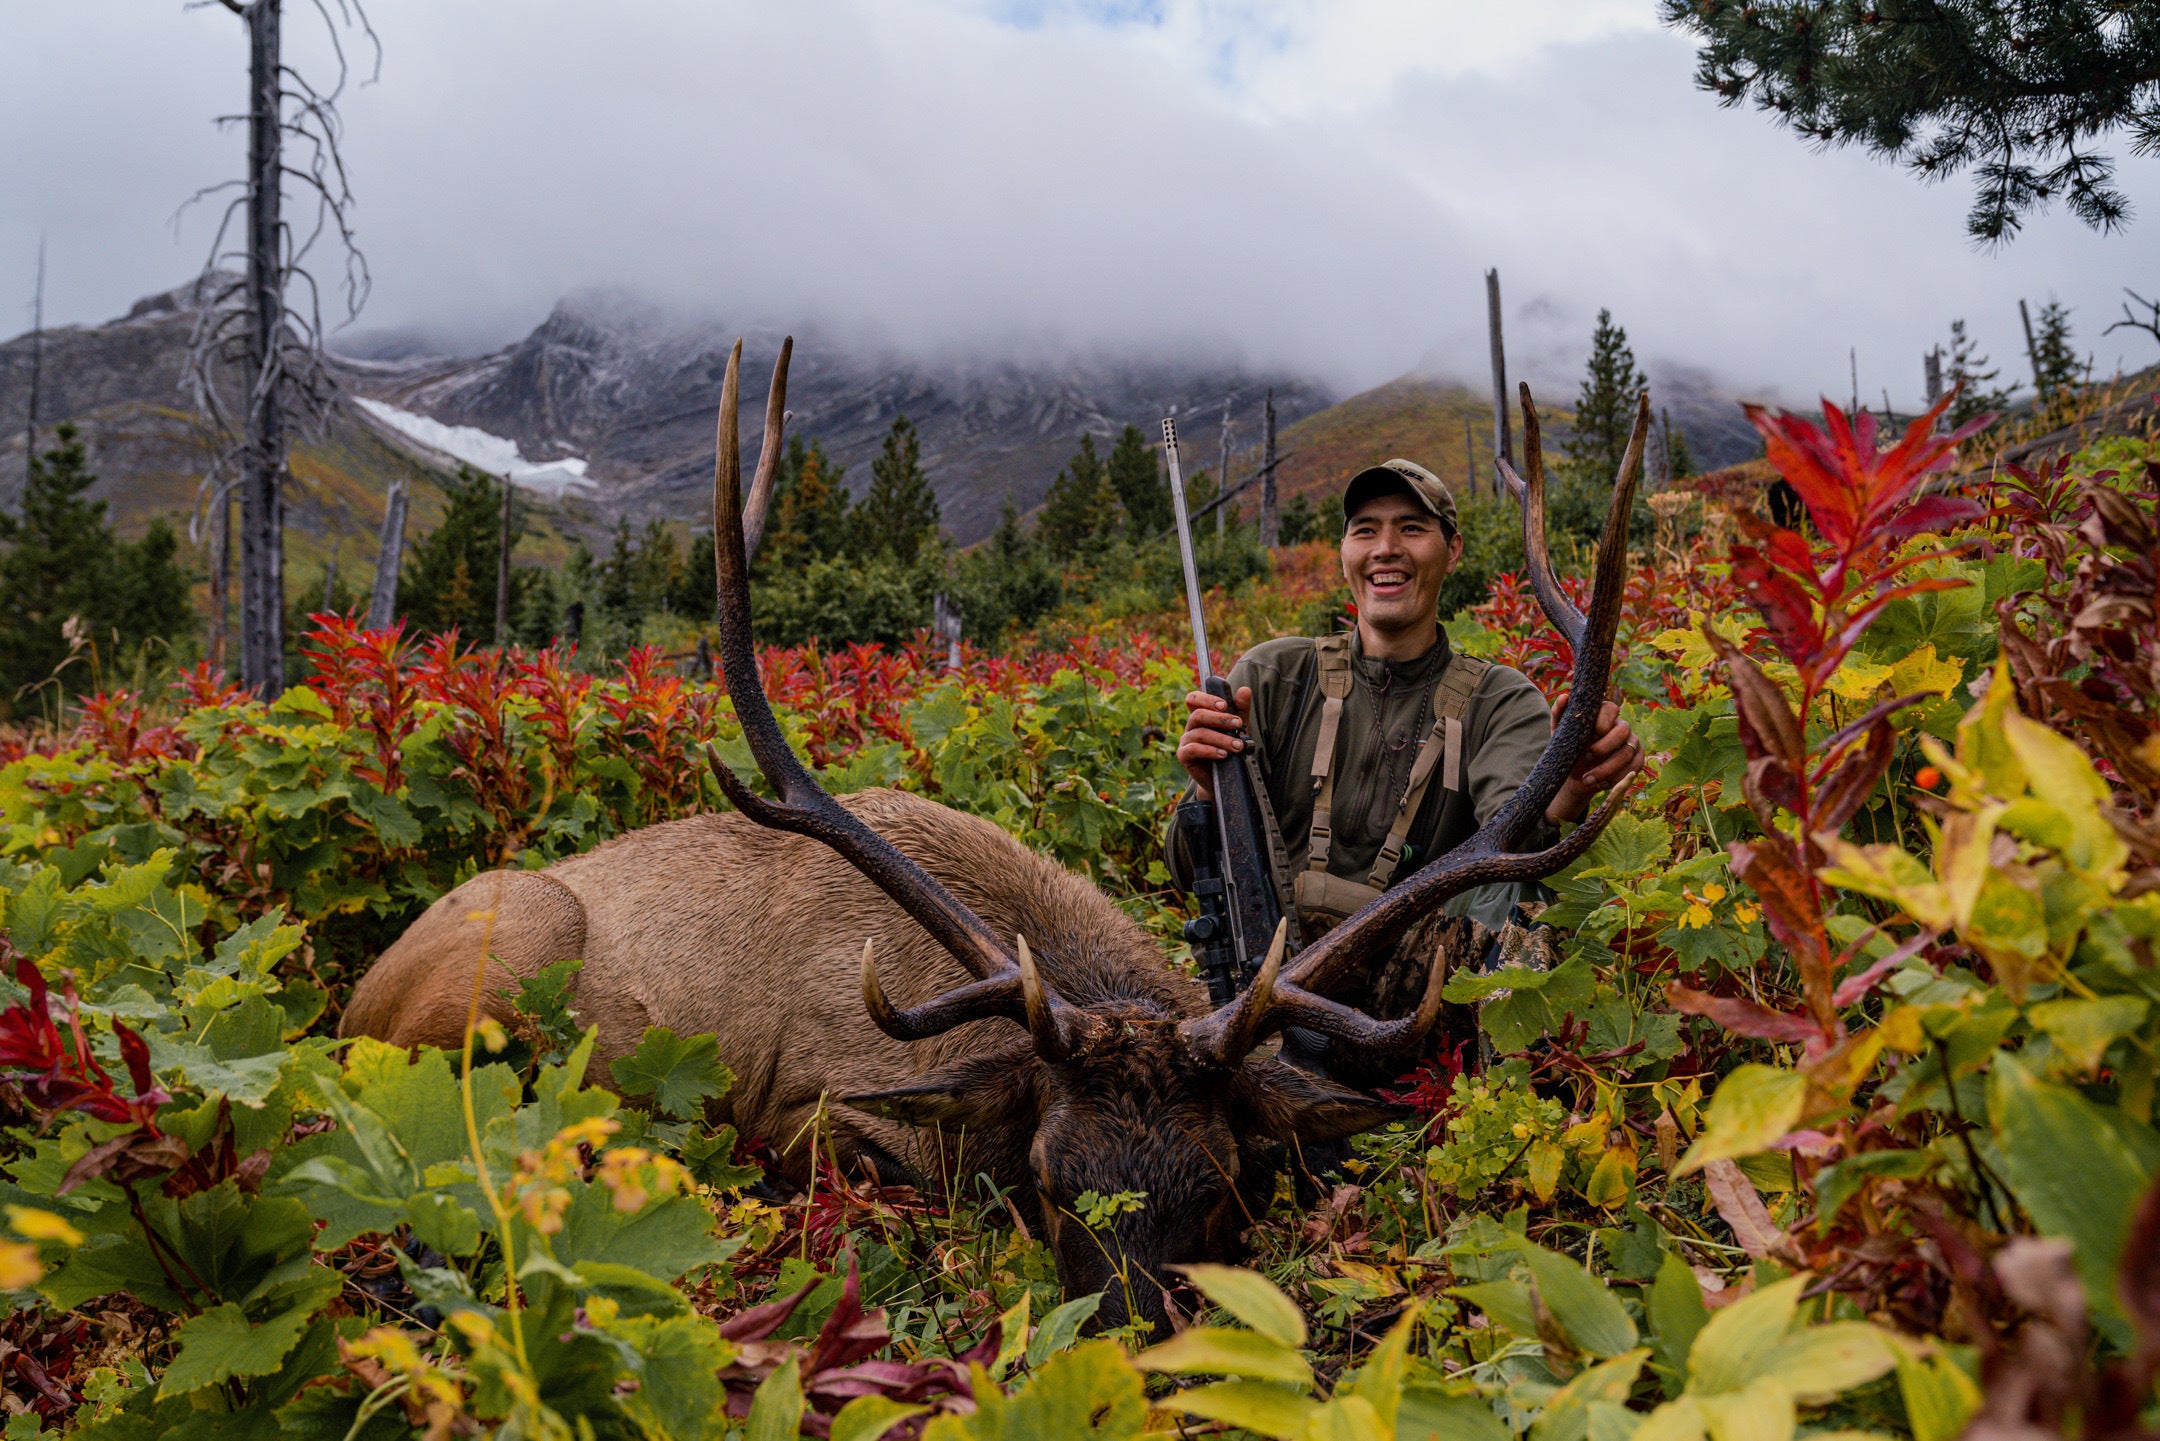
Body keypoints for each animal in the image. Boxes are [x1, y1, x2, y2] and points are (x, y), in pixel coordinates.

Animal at [342, 342, 1646, 1334]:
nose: (1136, 1348)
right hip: (505, 953)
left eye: (1225, 1186)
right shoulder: (812, 1112)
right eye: (1051, 1184)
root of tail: (355, 993)